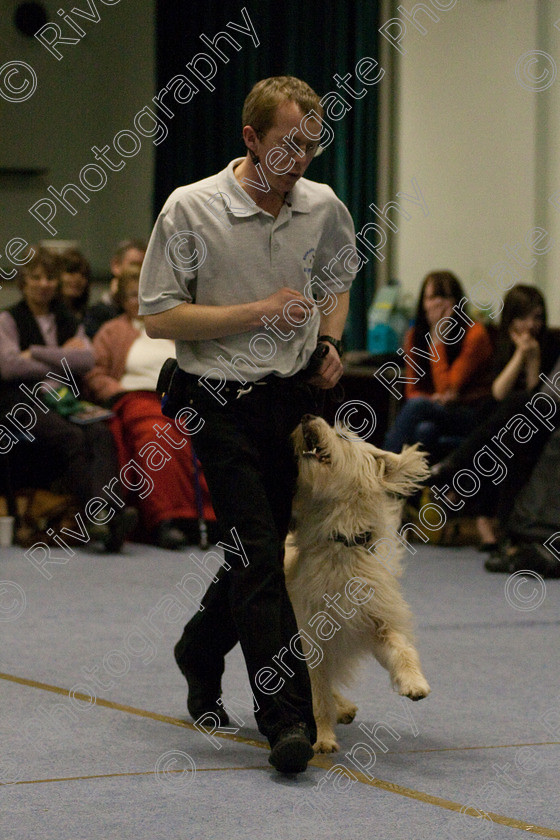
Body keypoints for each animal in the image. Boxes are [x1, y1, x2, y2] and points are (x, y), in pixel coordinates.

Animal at [284, 416, 434, 752]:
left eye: (343, 436)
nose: (306, 417)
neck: (341, 547)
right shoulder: (311, 641)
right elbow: (317, 695)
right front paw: (323, 738)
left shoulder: (377, 622)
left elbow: (402, 650)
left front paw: (415, 683)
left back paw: (345, 707)